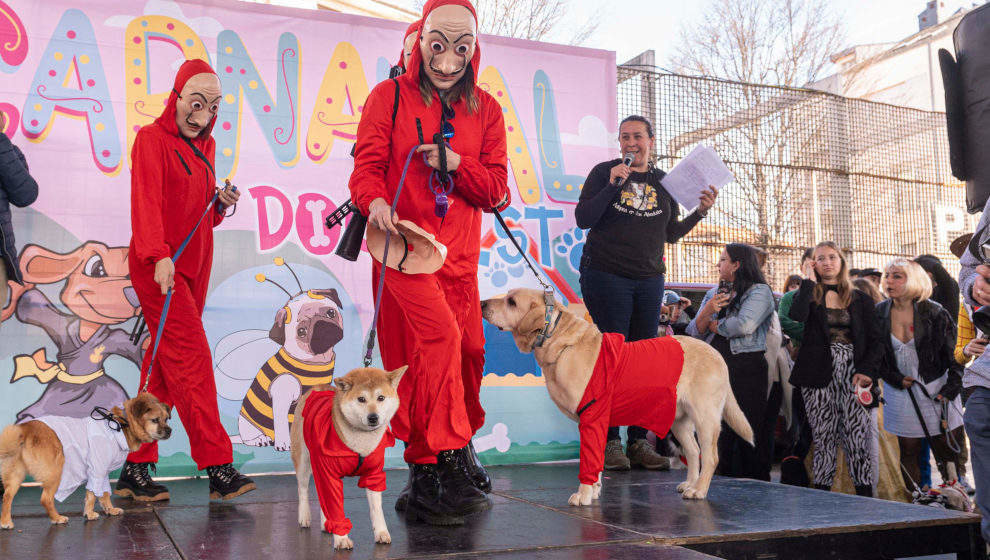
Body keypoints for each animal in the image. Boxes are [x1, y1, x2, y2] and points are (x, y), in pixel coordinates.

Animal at [0, 392, 172, 528]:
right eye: (155, 420)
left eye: (166, 419)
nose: (170, 430)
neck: (122, 425)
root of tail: (25, 429)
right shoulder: (98, 469)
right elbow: (98, 493)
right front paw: (93, 513)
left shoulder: (99, 472)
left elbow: (97, 494)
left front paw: (105, 511)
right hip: (55, 472)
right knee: (45, 499)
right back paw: (57, 518)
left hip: (16, 475)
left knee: (7, 496)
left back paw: (5, 522)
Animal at [290, 368, 406, 552]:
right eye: (361, 399)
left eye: (381, 398)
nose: (373, 417)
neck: (360, 445)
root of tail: (318, 386)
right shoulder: (328, 473)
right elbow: (334, 507)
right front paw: (342, 539)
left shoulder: (373, 475)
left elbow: (376, 510)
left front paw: (381, 532)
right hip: (302, 459)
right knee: (303, 489)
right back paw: (305, 517)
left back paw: (326, 523)